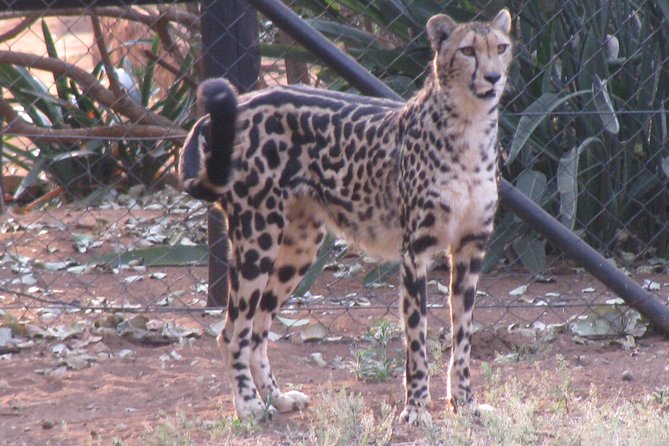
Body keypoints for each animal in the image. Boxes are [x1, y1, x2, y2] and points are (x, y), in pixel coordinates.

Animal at [178, 9, 512, 424]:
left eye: (501, 47)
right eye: (467, 50)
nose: (494, 77)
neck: (469, 125)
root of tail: (244, 99)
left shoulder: (471, 247)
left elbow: (462, 336)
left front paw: (465, 403)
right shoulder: (415, 252)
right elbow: (416, 339)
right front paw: (417, 408)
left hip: (299, 247)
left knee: (258, 329)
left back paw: (276, 398)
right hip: (258, 237)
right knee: (232, 332)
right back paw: (249, 405)